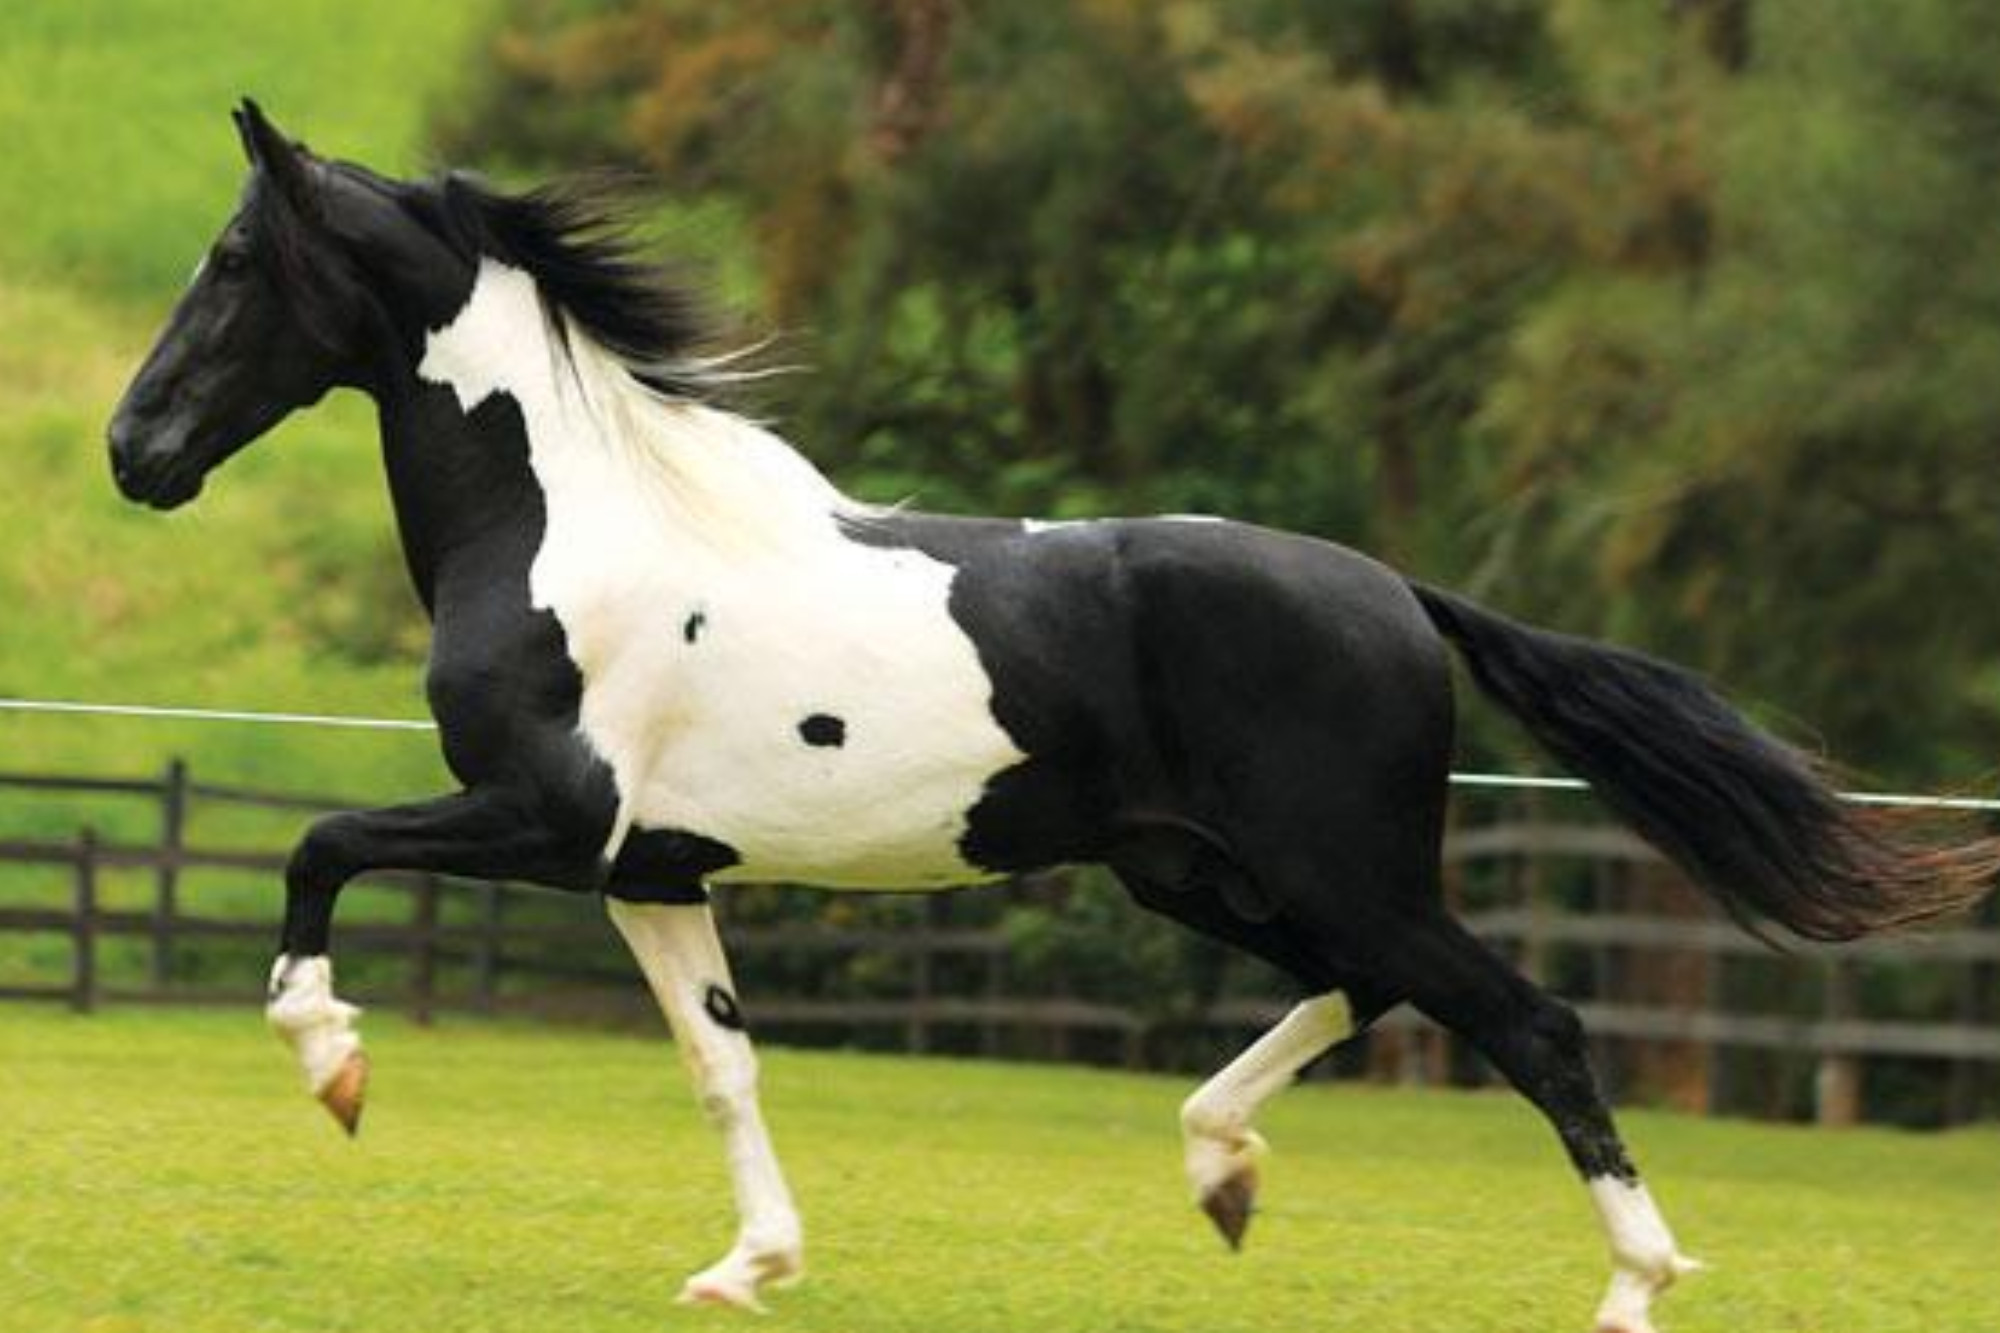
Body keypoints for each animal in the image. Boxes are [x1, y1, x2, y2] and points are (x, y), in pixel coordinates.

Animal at [105, 104, 2000, 1328]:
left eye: (233, 258)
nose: (136, 450)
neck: (575, 518)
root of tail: (1401, 592)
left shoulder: (547, 821)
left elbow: (316, 847)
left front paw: (337, 1068)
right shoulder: (647, 868)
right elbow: (724, 1066)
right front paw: (749, 1265)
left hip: (1342, 867)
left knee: (1528, 1020)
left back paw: (1634, 1282)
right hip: (1202, 870)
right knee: (1372, 991)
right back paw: (1222, 1170)